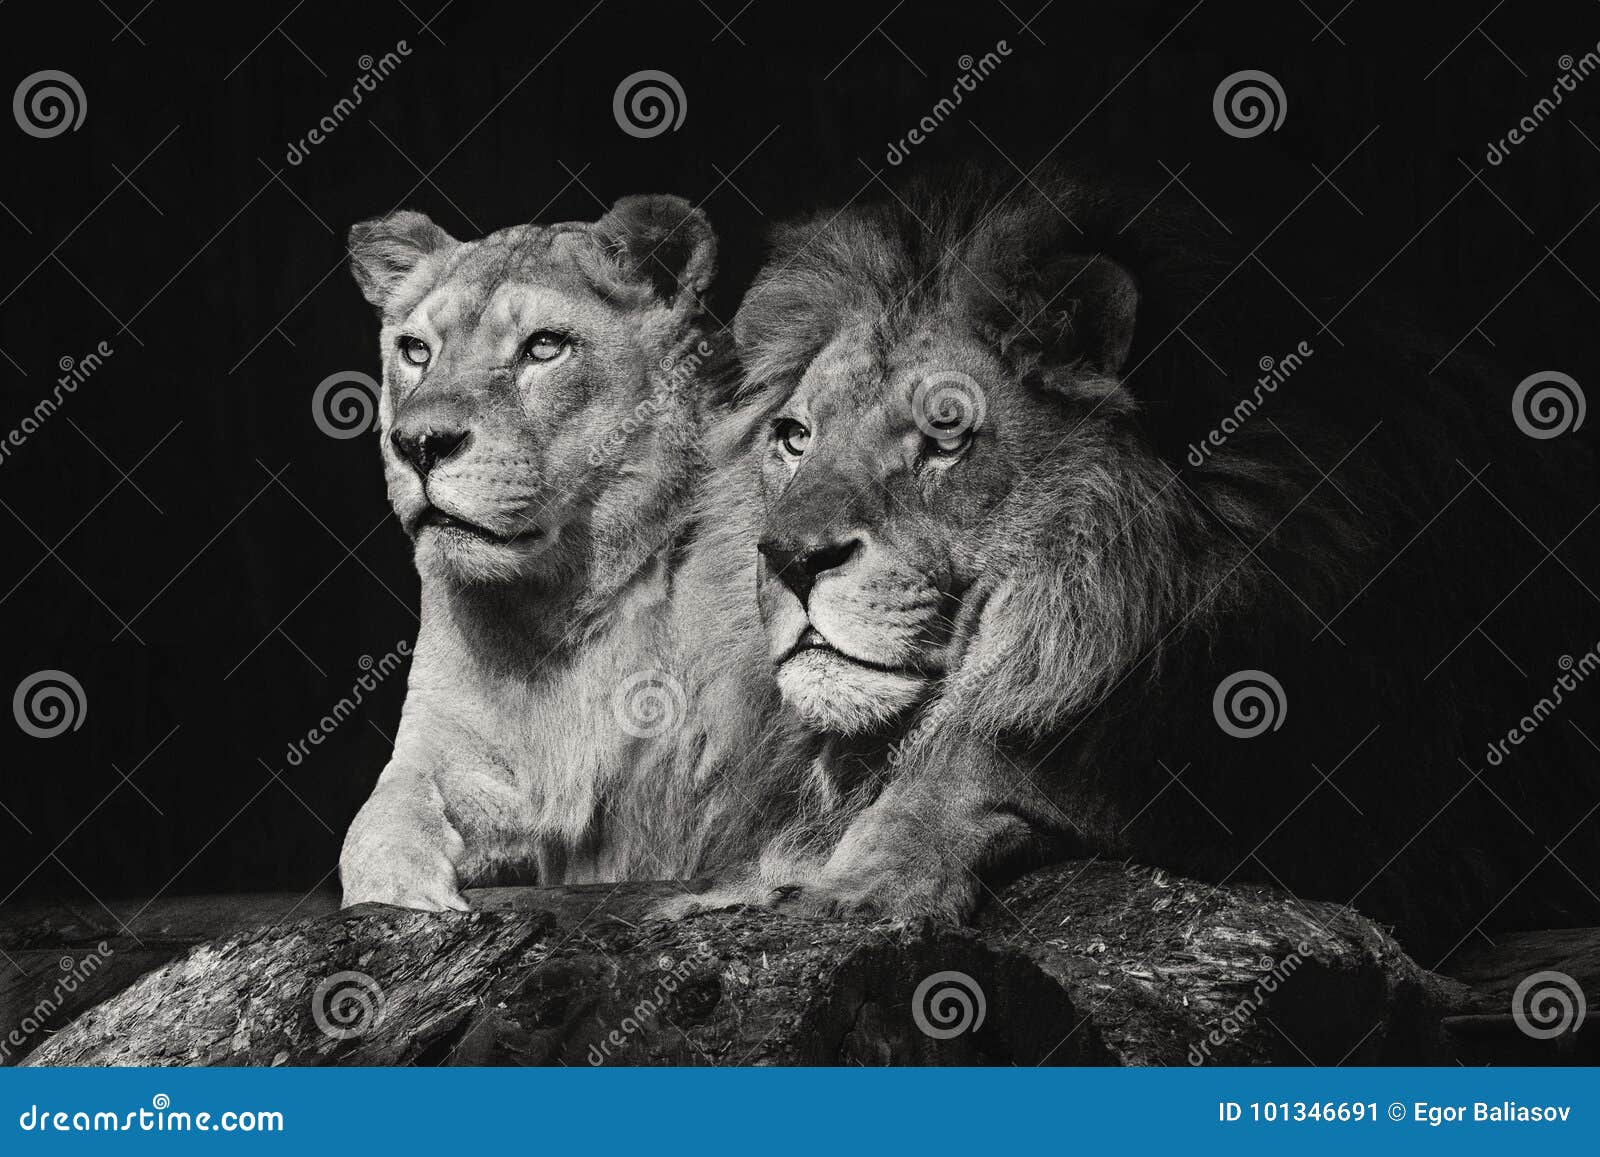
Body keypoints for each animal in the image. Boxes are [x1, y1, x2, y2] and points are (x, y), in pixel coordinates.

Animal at [339, 194, 812, 908]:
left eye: (544, 347)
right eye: (416, 351)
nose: (418, 444)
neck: (558, 609)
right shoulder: (444, 748)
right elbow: (375, 819)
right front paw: (401, 893)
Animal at [704, 164, 1600, 960]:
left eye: (946, 434)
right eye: (795, 437)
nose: (789, 556)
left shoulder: (1374, 819)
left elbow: (992, 749)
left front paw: (854, 879)